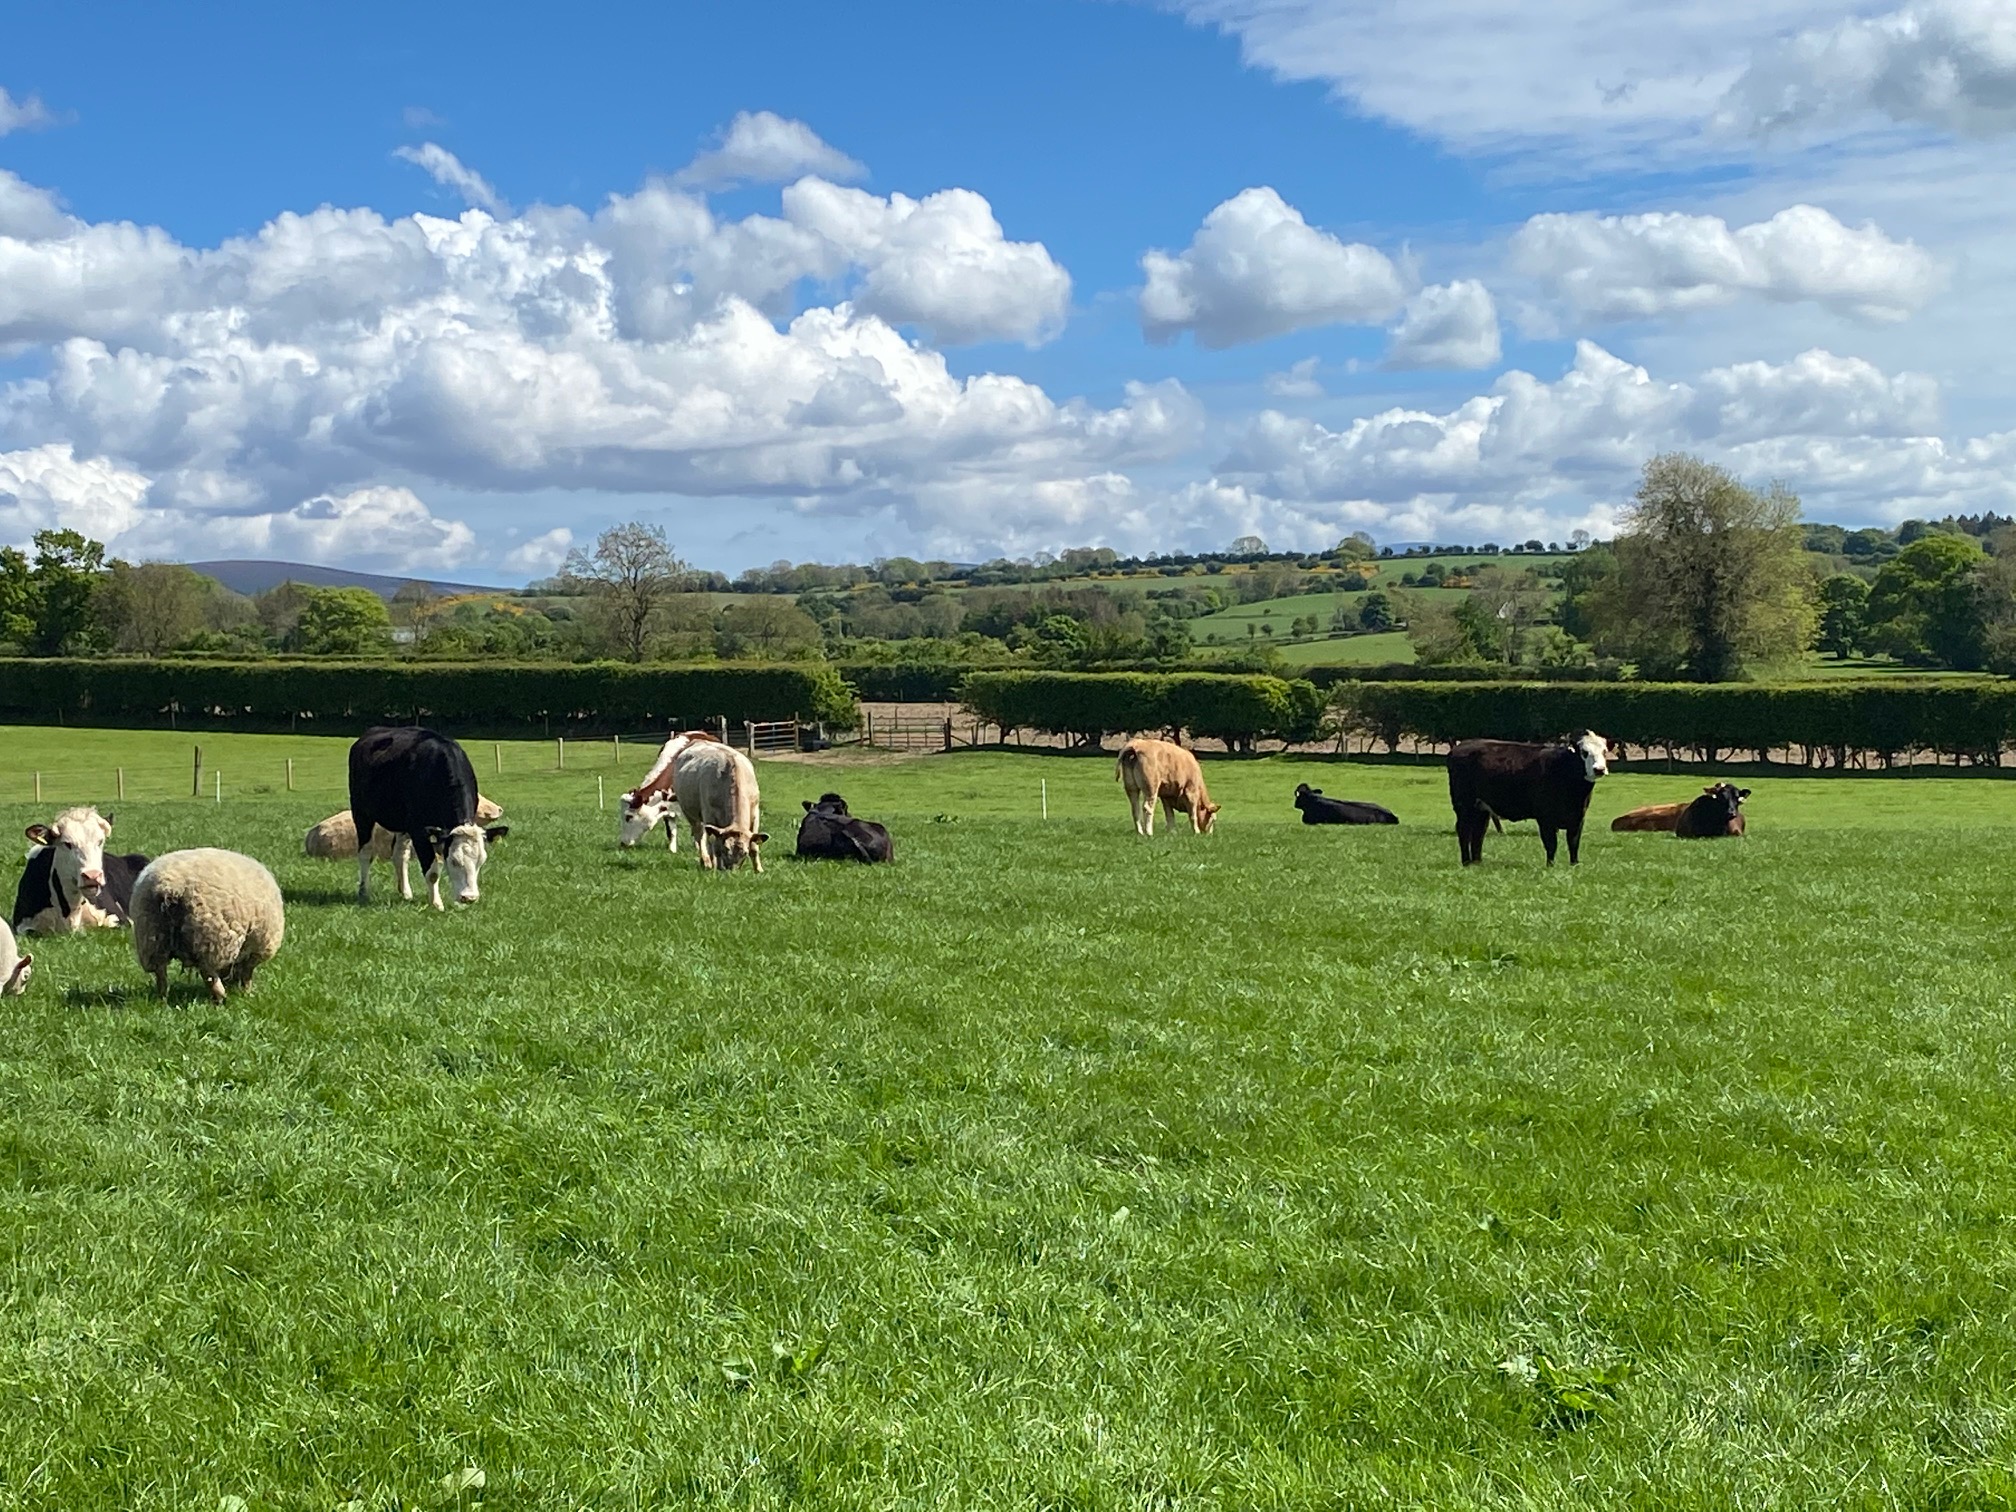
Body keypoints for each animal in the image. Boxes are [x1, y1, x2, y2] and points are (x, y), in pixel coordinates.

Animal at [131, 854, 288, 1008]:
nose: (233, 987)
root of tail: (168, 887)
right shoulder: (256, 949)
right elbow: (247, 973)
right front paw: (246, 993)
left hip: (151, 935)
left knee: (160, 971)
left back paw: (163, 998)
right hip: (211, 937)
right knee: (208, 973)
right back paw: (220, 998)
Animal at [346, 725, 508, 911]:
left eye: (481, 861)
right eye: (454, 861)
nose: (469, 898)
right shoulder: (418, 829)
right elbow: (433, 872)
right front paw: (436, 904)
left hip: (403, 823)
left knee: (399, 854)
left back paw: (406, 892)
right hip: (361, 812)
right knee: (365, 853)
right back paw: (364, 891)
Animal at [677, 741, 770, 870]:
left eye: (744, 853)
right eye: (725, 849)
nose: (731, 871)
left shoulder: (755, 813)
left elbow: (754, 846)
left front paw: (758, 870)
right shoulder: (709, 814)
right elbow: (715, 844)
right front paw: (717, 868)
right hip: (690, 813)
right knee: (700, 836)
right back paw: (706, 861)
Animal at [1443, 729, 1612, 870]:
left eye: (1604, 751)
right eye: (1584, 752)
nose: (1599, 769)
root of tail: (1461, 746)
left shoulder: (1578, 817)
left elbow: (1574, 842)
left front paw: (1574, 865)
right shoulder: (1545, 818)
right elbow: (1551, 843)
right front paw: (1550, 866)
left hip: (1481, 808)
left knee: (1478, 832)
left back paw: (1477, 862)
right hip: (1464, 805)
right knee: (1464, 830)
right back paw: (1466, 862)